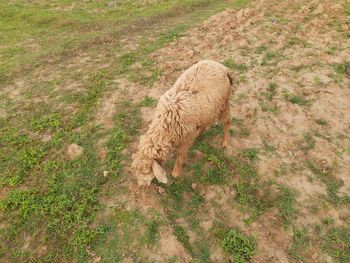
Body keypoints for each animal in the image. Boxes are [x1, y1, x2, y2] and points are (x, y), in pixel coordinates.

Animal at [133, 59, 234, 188]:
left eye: (147, 171)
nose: (141, 186)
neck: (166, 122)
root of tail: (223, 67)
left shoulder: (187, 136)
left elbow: (180, 154)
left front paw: (176, 172)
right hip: (208, 108)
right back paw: (200, 133)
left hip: (223, 102)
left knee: (227, 121)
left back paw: (225, 141)